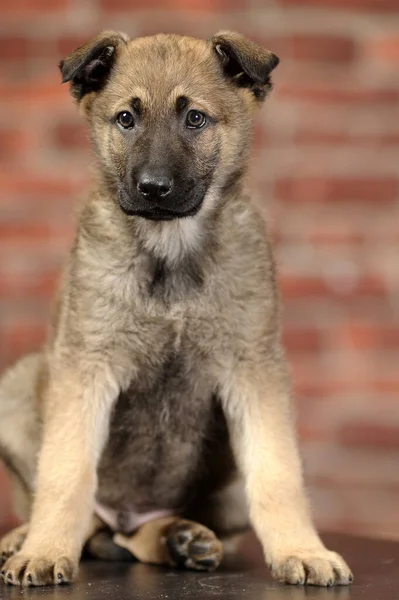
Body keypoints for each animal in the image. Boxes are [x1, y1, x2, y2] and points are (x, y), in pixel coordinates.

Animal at [0, 29, 354, 584]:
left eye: (195, 119)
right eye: (127, 118)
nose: (153, 188)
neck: (171, 253)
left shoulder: (255, 371)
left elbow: (278, 475)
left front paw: (302, 549)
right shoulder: (86, 367)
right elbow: (66, 471)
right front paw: (45, 548)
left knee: (133, 537)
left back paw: (179, 538)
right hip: (18, 387)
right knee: (91, 523)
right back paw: (27, 537)